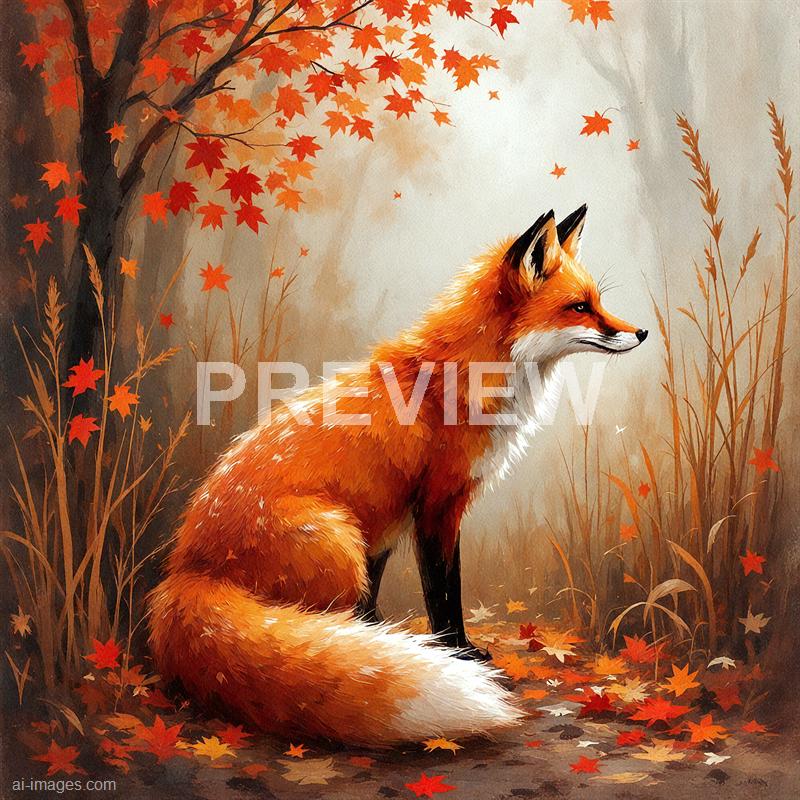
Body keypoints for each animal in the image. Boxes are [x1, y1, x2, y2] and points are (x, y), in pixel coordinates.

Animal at [148, 205, 647, 746]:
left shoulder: (395, 520)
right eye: (580, 307)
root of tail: (186, 571)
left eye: (599, 302)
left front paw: (403, 646)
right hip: (338, 541)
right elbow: (444, 595)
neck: (458, 378)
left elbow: (400, 597)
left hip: (360, 537)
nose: (641, 333)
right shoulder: (438, 507)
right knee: (322, 621)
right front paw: (460, 654)